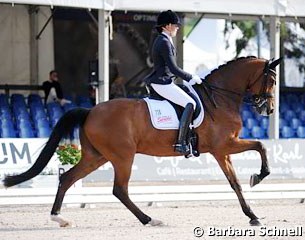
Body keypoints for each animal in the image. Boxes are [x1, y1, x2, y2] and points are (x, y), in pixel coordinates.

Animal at [4, 55, 280, 227]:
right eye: (272, 80)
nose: (268, 109)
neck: (220, 99)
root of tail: (90, 111)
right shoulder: (224, 145)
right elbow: (261, 146)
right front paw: (259, 176)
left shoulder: (222, 151)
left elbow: (235, 183)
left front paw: (253, 215)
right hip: (123, 156)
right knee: (119, 190)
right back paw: (150, 219)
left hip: (96, 156)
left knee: (68, 178)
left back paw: (58, 218)